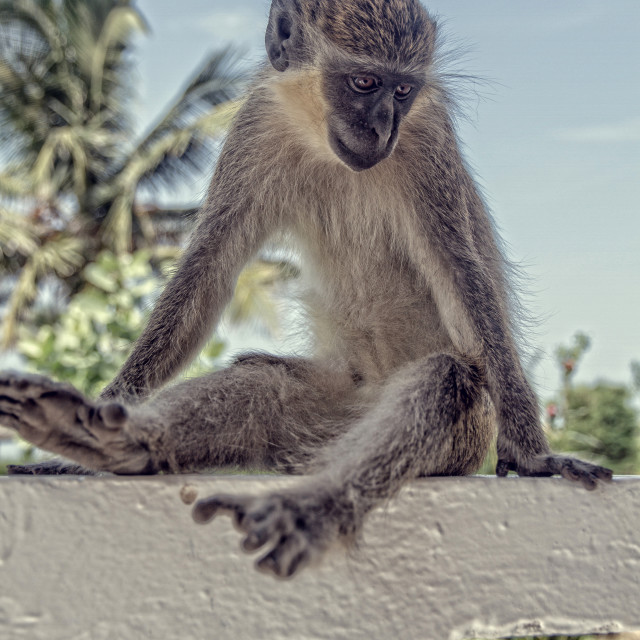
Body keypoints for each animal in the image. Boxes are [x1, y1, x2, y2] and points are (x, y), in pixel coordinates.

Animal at [0, 0, 608, 580]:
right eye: (364, 82)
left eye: (402, 90)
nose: (382, 130)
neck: (320, 135)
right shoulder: (256, 122)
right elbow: (208, 271)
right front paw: (102, 421)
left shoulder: (427, 137)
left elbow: (462, 278)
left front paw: (533, 454)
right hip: (327, 412)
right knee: (261, 386)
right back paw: (114, 444)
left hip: (462, 434)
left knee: (447, 383)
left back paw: (316, 505)